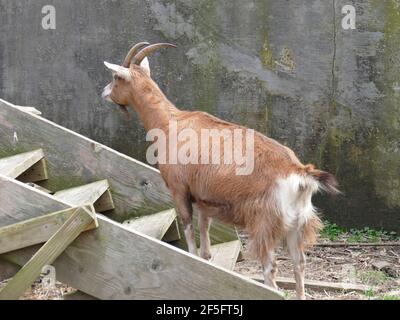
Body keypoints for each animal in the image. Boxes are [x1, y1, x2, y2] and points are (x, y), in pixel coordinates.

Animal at [101, 42, 340, 300]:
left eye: (115, 77)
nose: (104, 92)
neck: (170, 123)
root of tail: (298, 171)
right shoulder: (205, 199)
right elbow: (205, 244)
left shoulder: (179, 190)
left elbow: (190, 235)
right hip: (298, 224)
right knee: (299, 263)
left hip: (264, 222)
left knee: (270, 269)